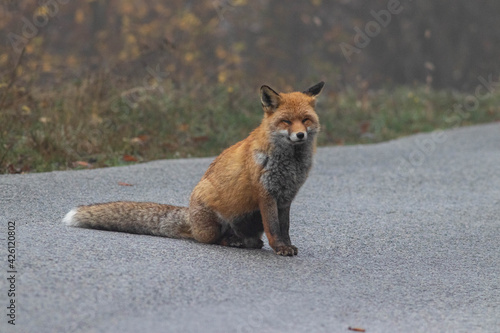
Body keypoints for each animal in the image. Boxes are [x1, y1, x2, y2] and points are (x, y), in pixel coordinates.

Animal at [62, 81, 326, 255]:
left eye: (305, 120)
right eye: (286, 121)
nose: (300, 135)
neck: (290, 163)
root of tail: (189, 216)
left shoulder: (286, 197)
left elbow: (285, 227)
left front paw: (286, 245)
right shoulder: (266, 193)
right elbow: (273, 227)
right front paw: (280, 248)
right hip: (215, 220)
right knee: (211, 240)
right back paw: (232, 242)